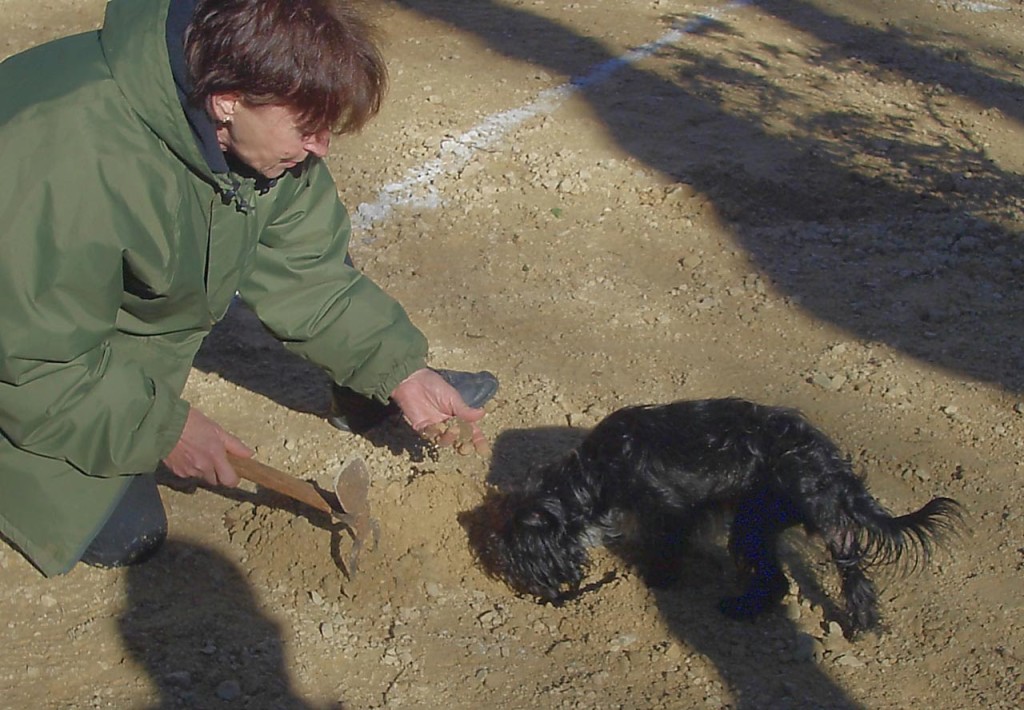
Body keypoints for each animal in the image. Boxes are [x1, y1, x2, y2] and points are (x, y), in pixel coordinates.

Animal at [471, 395, 958, 635]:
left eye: (525, 562)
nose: (541, 597)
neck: (597, 472)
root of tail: (832, 465)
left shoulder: (667, 511)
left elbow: (665, 551)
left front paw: (658, 579)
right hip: (805, 527)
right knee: (848, 580)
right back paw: (860, 626)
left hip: (758, 523)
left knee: (780, 580)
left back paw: (740, 609)